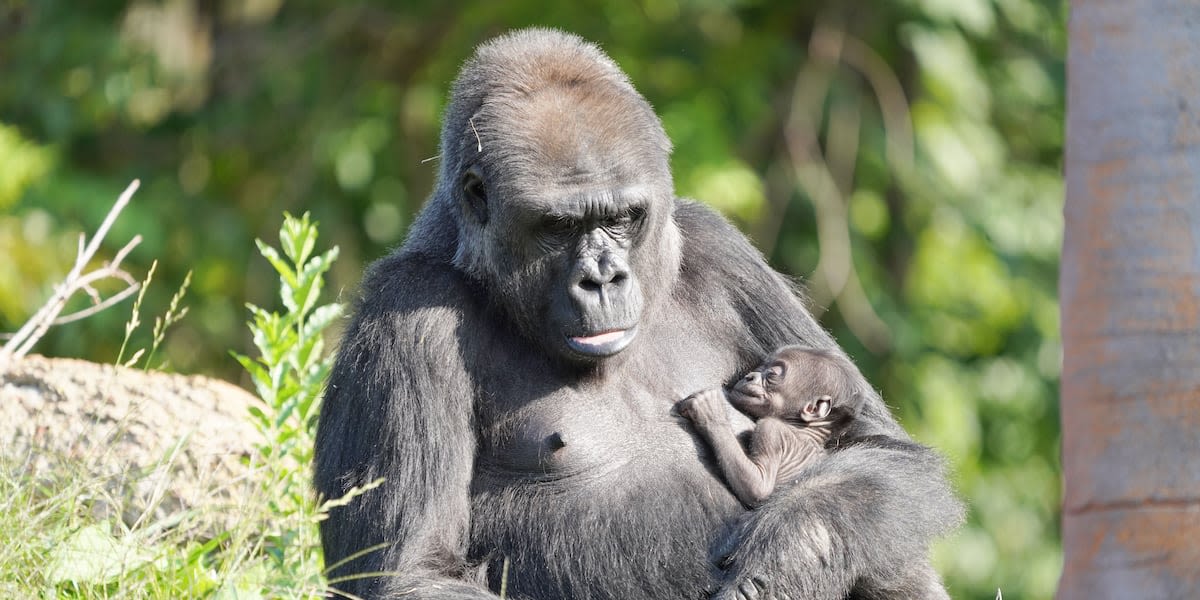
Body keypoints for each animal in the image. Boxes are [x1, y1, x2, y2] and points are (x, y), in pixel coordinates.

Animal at [676, 345, 864, 508]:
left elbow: (759, 488)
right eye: (760, 368)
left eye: (771, 374)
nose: (749, 376)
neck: (806, 429)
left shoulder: (770, 429)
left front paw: (711, 413)